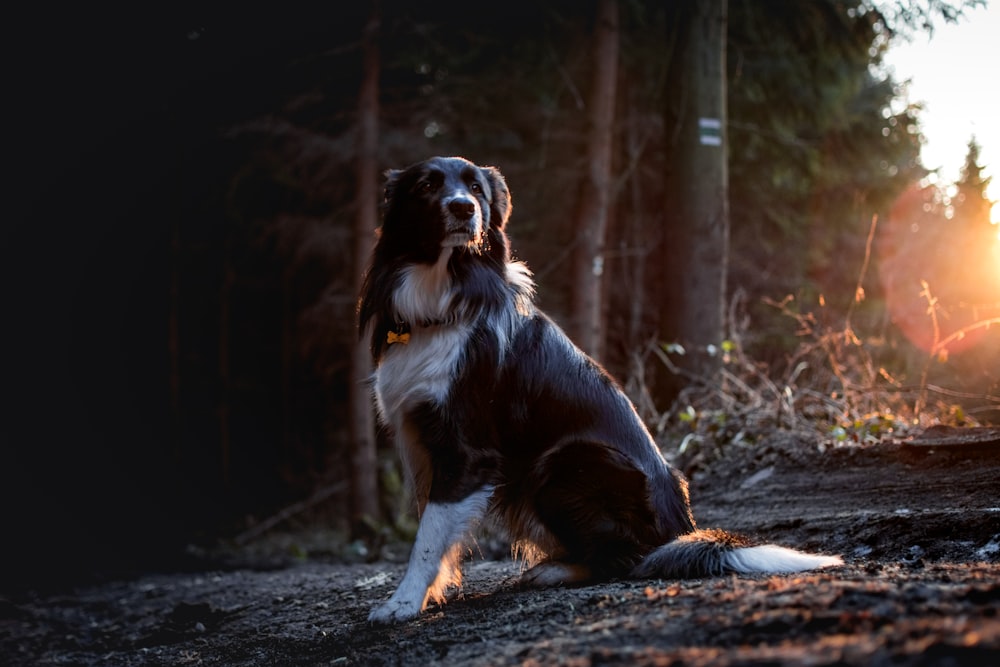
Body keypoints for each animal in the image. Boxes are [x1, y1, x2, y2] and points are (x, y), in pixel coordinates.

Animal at [356, 158, 840, 628]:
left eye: (476, 188)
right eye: (427, 186)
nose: (462, 208)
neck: (443, 293)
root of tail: (679, 529)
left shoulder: (465, 448)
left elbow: (427, 536)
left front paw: (402, 603)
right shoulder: (423, 441)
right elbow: (433, 529)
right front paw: (428, 594)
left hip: (560, 465)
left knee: (626, 560)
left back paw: (554, 570)